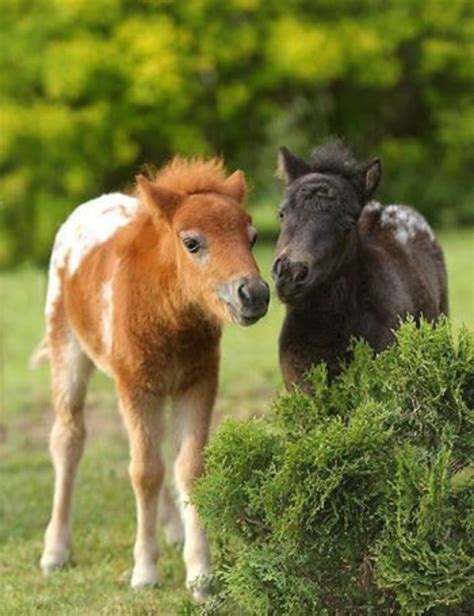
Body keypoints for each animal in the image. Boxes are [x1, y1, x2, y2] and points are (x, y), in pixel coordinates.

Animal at [32, 156, 268, 600]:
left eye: (253, 236)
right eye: (192, 243)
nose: (255, 294)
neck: (171, 316)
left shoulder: (198, 383)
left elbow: (188, 468)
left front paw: (201, 575)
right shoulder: (136, 386)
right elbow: (144, 472)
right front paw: (144, 573)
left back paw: (173, 530)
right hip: (67, 349)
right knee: (68, 438)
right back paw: (55, 551)